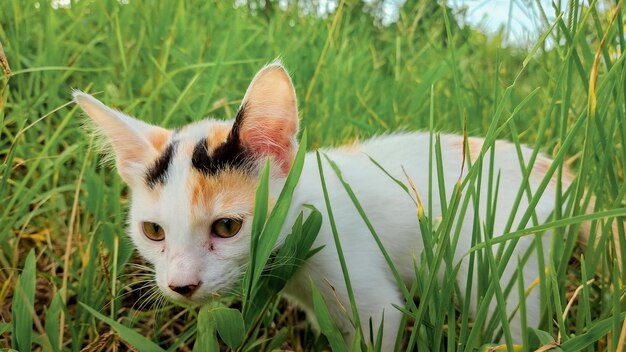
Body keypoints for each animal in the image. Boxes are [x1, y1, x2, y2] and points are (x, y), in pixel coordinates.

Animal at [75, 60, 616, 350]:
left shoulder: (375, 305)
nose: (181, 285)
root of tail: (550, 167)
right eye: (153, 232)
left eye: (227, 227)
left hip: (506, 273)